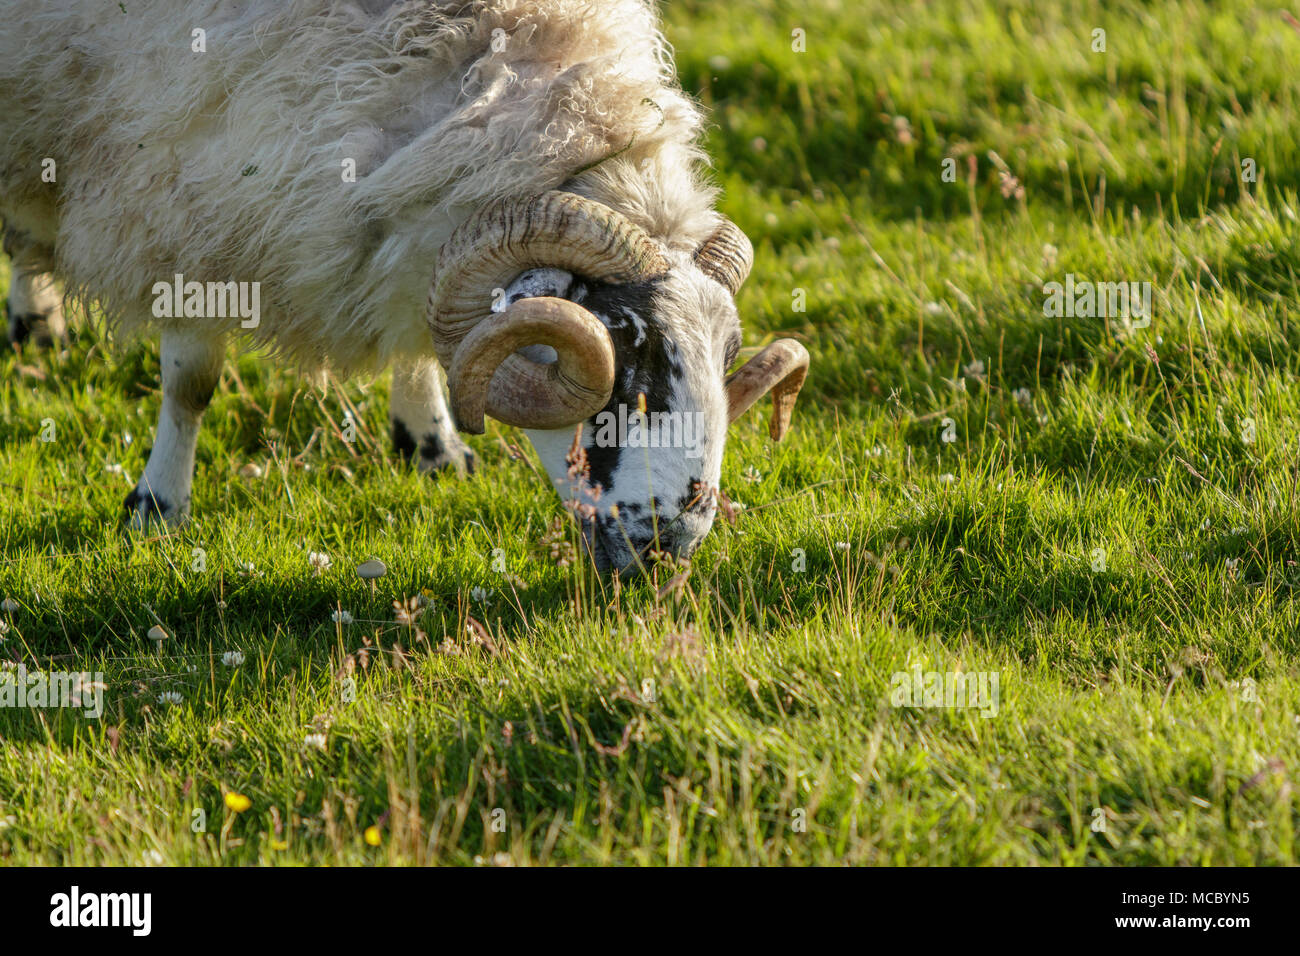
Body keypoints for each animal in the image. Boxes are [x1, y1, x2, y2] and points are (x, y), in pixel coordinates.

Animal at [2, 0, 811, 574]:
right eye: (622, 355)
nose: (670, 546)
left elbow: (420, 335)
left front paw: (433, 446)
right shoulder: (182, 198)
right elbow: (190, 382)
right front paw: (157, 506)